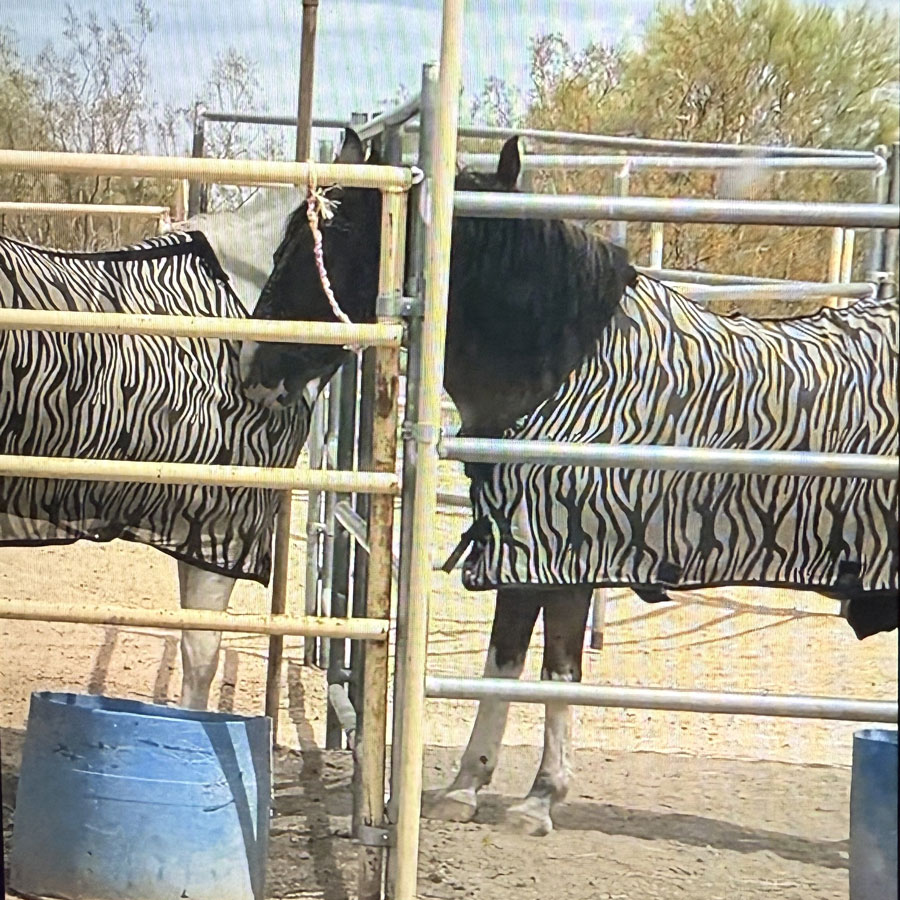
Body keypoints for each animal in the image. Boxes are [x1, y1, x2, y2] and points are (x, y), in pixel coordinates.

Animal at [239, 128, 900, 836]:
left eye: (328, 249)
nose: (256, 368)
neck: (564, 366)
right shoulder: (522, 551)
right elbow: (507, 661)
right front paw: (469, 787)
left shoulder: (564, 554)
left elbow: (556, 667)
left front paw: (537, 798)